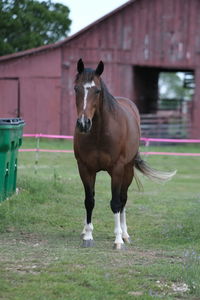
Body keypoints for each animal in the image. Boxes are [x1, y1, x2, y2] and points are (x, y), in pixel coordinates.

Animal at [73, 58, 175, 248]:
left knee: (123, 199)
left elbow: (116, 202)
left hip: (127, 171)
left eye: (97, 91)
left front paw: (118, 239)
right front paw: (88, 236)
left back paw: (125, 234)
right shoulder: (85, 168)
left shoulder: (118, 169)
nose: (83, 123)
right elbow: (89, 200)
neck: (100, 134)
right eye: (76, 88)